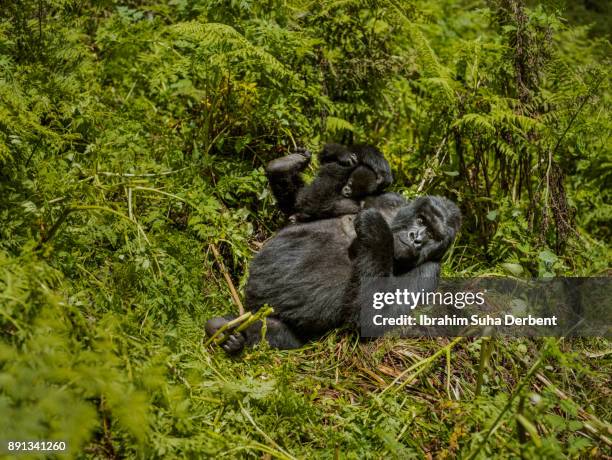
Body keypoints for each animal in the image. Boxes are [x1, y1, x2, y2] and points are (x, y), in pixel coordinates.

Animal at [206, 147, 460, 352]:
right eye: (421, 220)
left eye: (433, 235)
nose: (416, 238)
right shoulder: (390, 199)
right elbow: (306, 207)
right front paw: (367, 156)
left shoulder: (429, 272)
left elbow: (371, 319)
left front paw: (376, 230)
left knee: (270, 330)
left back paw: (229, 336)